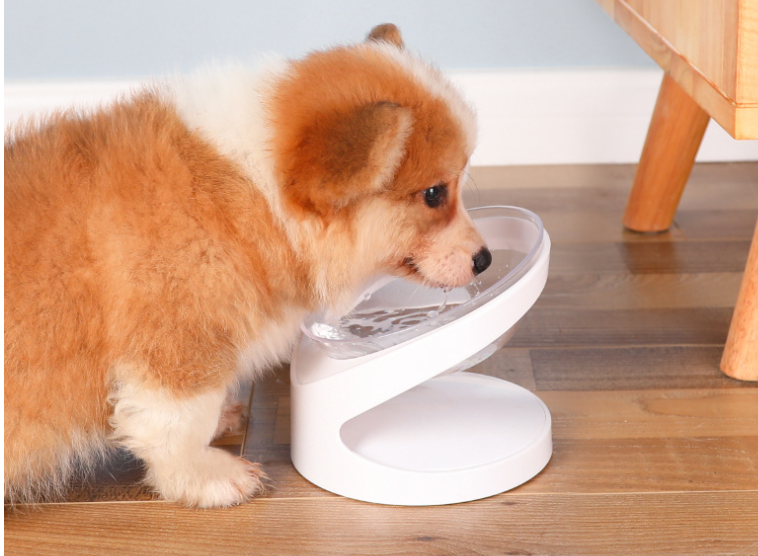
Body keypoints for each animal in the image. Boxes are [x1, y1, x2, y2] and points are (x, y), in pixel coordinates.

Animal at [4, 22, 492, 508]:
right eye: (434, 194)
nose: (485, 260)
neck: (254, 190)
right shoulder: (176, 346)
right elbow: (176, 427)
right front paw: (209, 478)